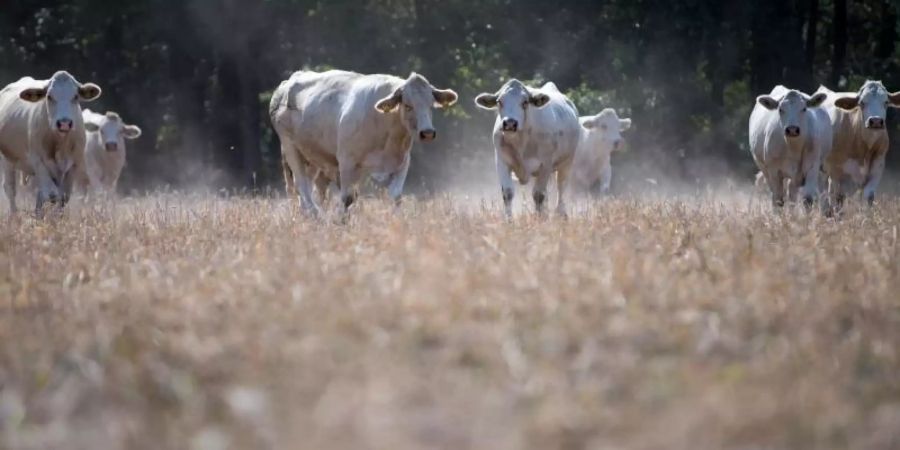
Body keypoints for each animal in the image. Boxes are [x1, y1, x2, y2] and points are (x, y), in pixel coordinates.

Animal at [0, 71, 102, 214]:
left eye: (75, 96)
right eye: (49, 96)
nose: (64, 123)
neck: (60, 143)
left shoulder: (73, 165)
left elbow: (63, 196)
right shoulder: (39, 162)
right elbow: (52, 195)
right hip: (7, 159)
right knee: (10, 189)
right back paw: (14, 215)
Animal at [270, 71, 458, 216]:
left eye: (431, 105)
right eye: (407, 105)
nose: (427, 133)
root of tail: (288, 82)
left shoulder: (402, 163)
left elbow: (396, 196)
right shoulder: (347, 162)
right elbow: (347, 198)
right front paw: (341, 221)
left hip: (312, 156)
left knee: (310, 188)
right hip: (290, 148)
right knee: (301, 186)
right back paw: (316, 215)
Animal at [474, 81, 580, 218]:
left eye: (525, 102)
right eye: (499, 102)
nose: (510, 123)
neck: (521, 141)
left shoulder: (546, 164)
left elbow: (538, 195)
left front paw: (539, 219)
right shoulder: (502, 161)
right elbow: (507, 193)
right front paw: (508, 219)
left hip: (567, 162)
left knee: (561, 188)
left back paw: (561, 214)